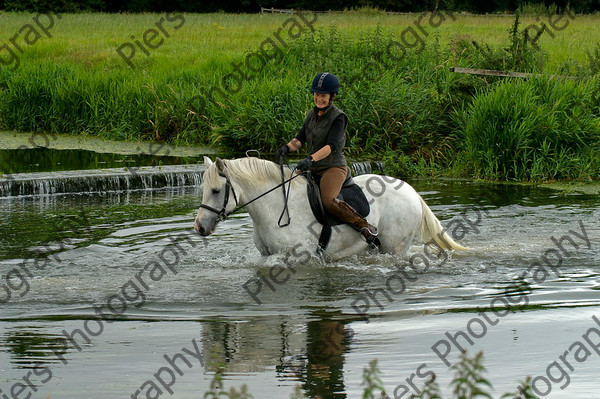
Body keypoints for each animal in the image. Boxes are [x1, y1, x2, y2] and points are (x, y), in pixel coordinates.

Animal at [195, 158, 466, 260]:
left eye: (216, 191)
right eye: (202, 189)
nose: (199, 227)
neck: (273, 207)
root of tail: (411, 191)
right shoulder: (266, 256)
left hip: (395, 248)